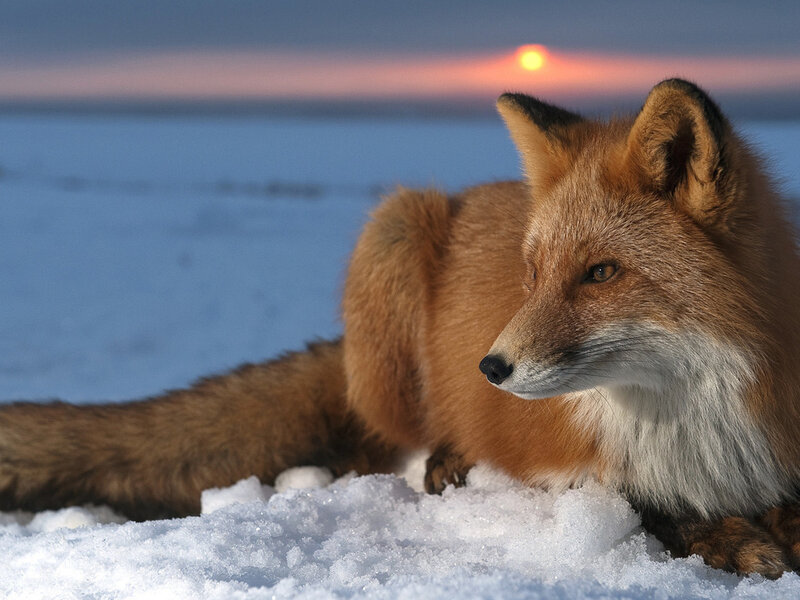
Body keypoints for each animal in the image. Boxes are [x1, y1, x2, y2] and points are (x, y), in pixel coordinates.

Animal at [1, 78, 799, 578]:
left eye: (601, 273)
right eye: (533, 274)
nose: (491, 369)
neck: (698, 418)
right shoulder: (562, 465)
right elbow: (648, 506)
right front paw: (730, 540)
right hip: (393, 231)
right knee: (387, 444)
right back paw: (445, 457)